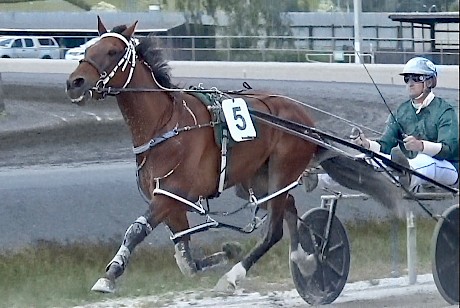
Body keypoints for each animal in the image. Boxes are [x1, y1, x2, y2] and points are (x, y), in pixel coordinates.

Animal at [64, 17, 402, 296]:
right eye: (89, 47)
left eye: (111, 52)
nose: (74, 82)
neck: (165, 124)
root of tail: (307, 121)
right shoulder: (172, 201)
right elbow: (186, 260)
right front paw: (226, 251)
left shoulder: (170, 195)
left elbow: (135, 230)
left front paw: (109, 275)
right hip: (258, 179)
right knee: (290, 211)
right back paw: (307, 258)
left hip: (283, 168)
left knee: (274, 230)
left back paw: (239, 275)